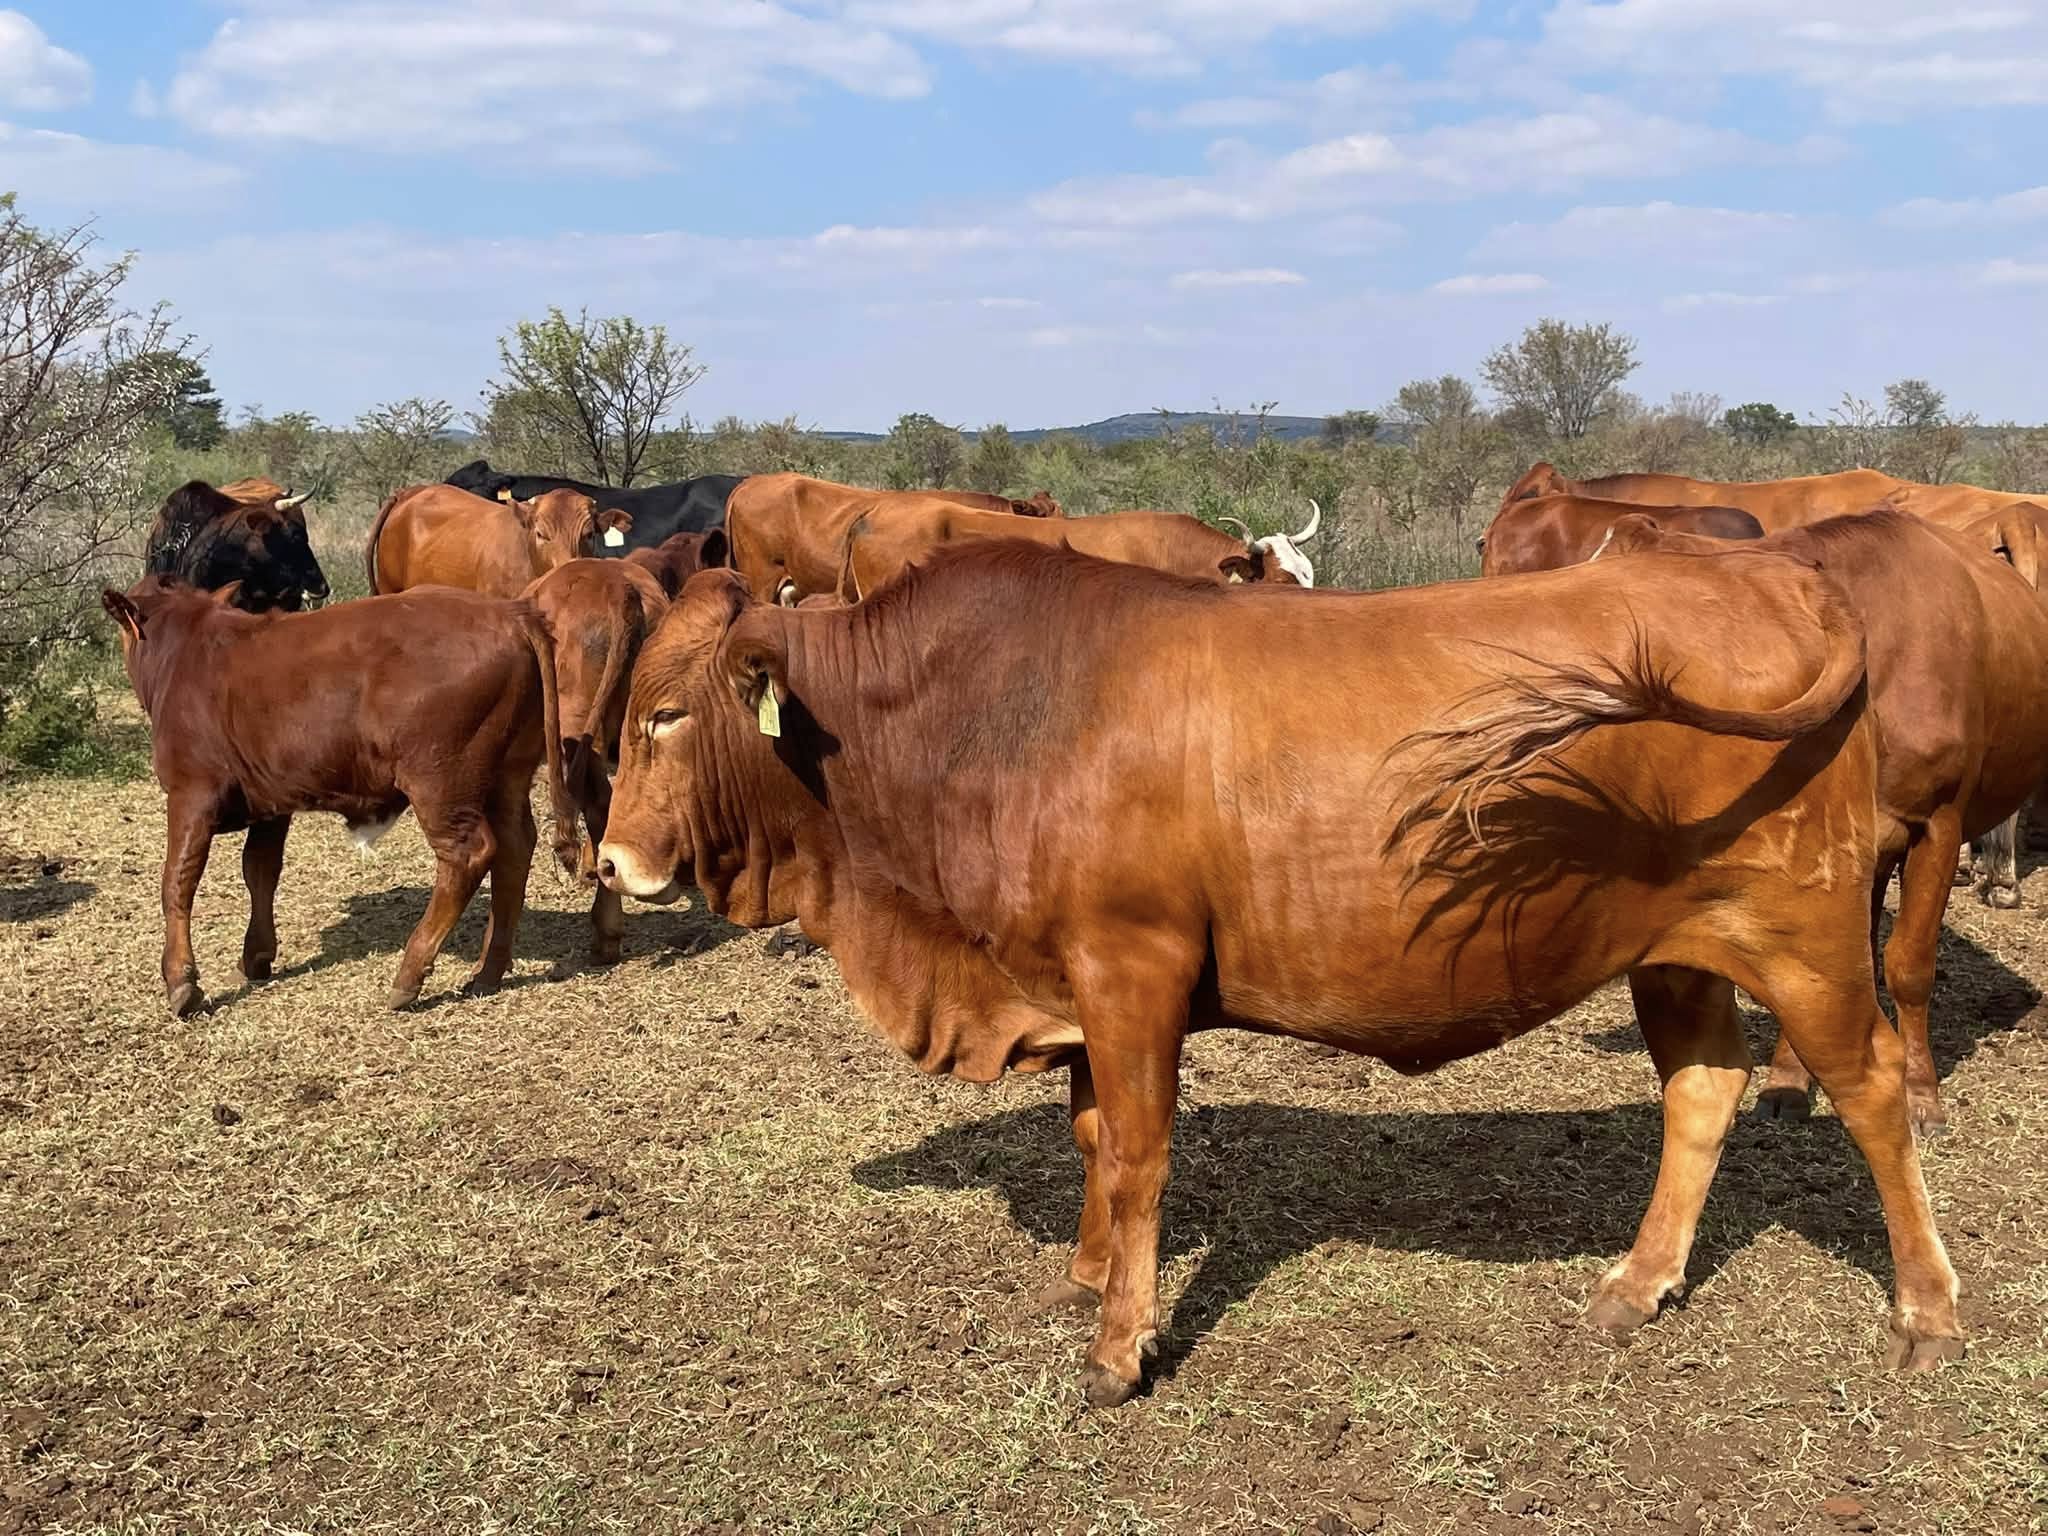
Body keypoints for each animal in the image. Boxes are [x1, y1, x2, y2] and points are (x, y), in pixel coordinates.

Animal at [102, 577, 576, 1016]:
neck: (187, 652)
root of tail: (510, 614)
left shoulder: (190, 795)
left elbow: (177, 882)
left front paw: (180, 979)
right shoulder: (271, 802)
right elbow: (260, 871)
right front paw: (255, 955)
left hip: (440, 780)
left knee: (468, 854)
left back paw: (409, 976)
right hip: (506, 776)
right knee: (514, 849)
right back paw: (488, 970)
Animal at [594, 541, 1962, 1405]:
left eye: (665, 713)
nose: (608, 858)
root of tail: (1766, 569)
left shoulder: (1132, 969)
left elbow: (1137, 1153)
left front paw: (1119, 1347)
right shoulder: (1075, 985)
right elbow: (1090, 1136)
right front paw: (1088, 1279)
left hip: (1805, 938)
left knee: (1870, 1092)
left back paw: (1926, 1311)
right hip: (1673, 952)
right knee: (1700, 1088)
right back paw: (1636, 1284)